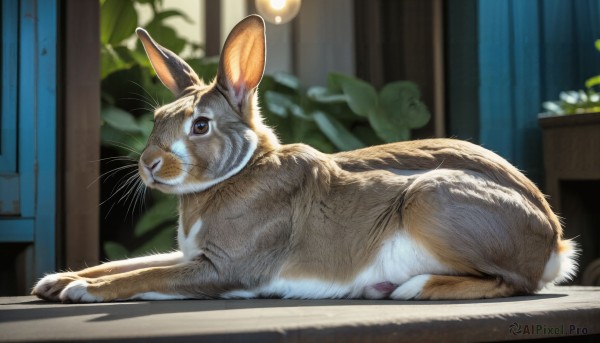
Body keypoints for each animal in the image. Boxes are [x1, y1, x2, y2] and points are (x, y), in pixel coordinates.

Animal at [32, 14, 576, 304]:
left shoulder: (224, 267)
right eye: (157, 118)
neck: (241, 171)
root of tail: (553, 242)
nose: (148, 164)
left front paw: (79, 293)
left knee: (512, 284)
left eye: (200, 126)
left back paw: (408, 288)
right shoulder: (192, 255)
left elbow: (145, 276)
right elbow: (130, 262)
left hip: (431, 199)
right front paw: (56, 281)